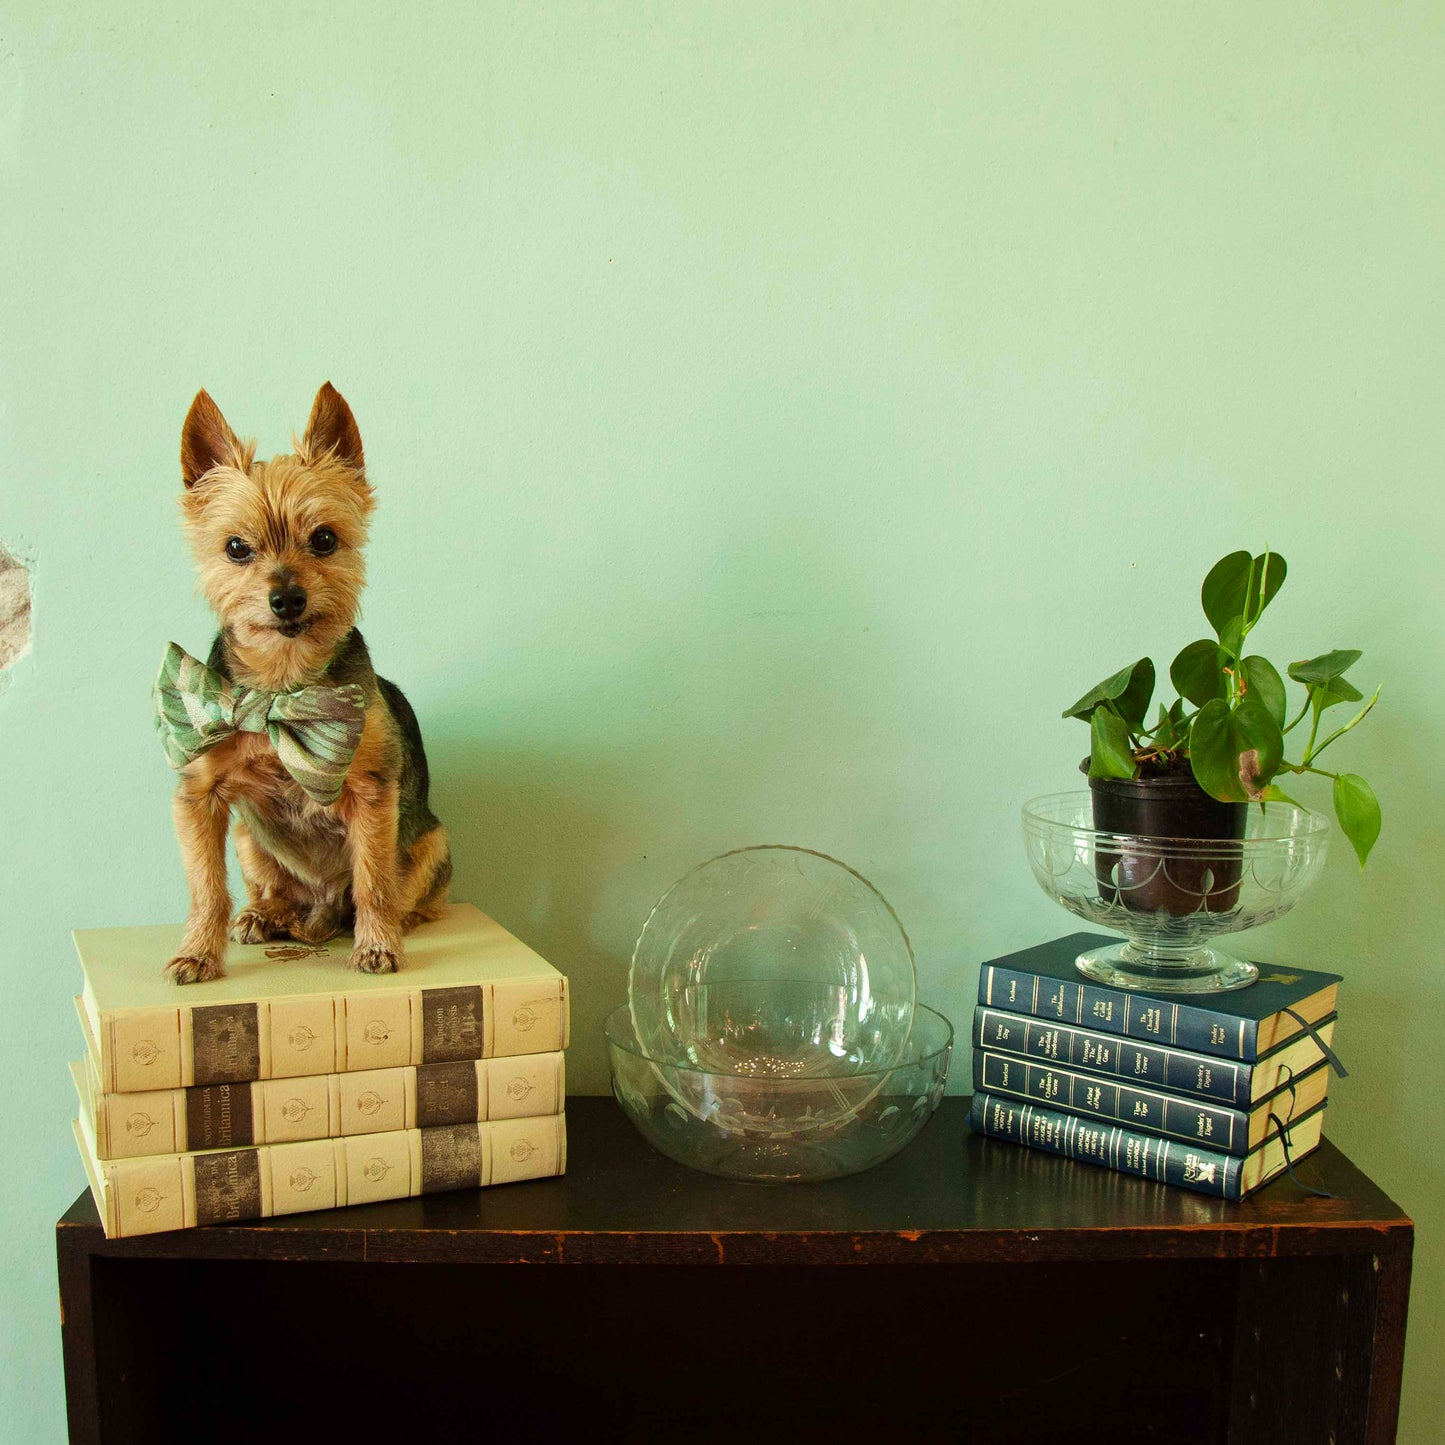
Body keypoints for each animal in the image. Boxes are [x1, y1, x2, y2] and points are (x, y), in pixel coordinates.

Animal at [160, 384, 447, 982]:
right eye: (236, 547)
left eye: (324, 539)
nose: (286, 598)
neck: (283, 683)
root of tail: (321, 912)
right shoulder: (198, 795)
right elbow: (205, 889)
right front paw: (197, 951)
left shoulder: (372, 793)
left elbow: (374, 880)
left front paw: (377, 945)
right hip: (249, 839)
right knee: (273, 889)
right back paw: (267, 915)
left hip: (435, 840)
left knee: (399, 893)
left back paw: (390, 923)